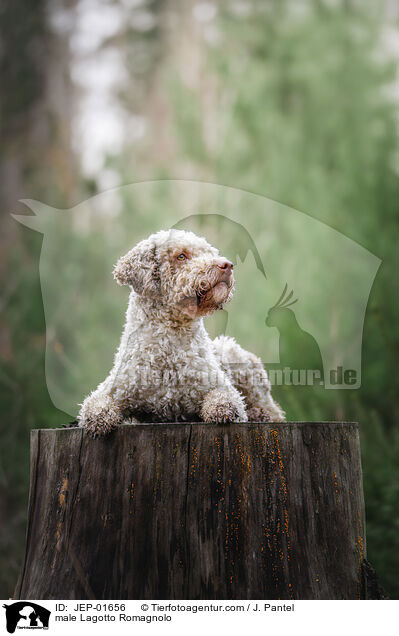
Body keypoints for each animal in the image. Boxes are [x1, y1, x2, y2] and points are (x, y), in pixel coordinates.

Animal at [78, 230, 284, 438]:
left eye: (209, 252)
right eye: (181, 256)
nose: (227, 265)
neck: (169, 345)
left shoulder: (222, 387)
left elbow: (224, 398)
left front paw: (221, 410)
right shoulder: (114, 389)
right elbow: (94, 404)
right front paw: (99, 419)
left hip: (238, 360)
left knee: (273, 410)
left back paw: (259, 414)